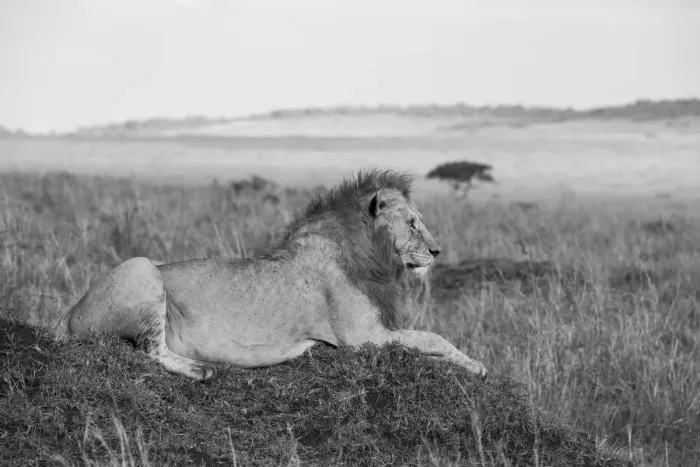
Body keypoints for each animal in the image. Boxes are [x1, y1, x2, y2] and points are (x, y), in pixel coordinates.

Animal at [65, 169, 487, 381]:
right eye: (413, 223)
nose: (436, 251)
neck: (368, 253)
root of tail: (68, 314)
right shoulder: (360, 337)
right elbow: (431, 338)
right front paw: (477, 366)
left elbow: (426, 340)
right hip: (141, 266)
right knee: (150, 348)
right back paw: (200, 370)